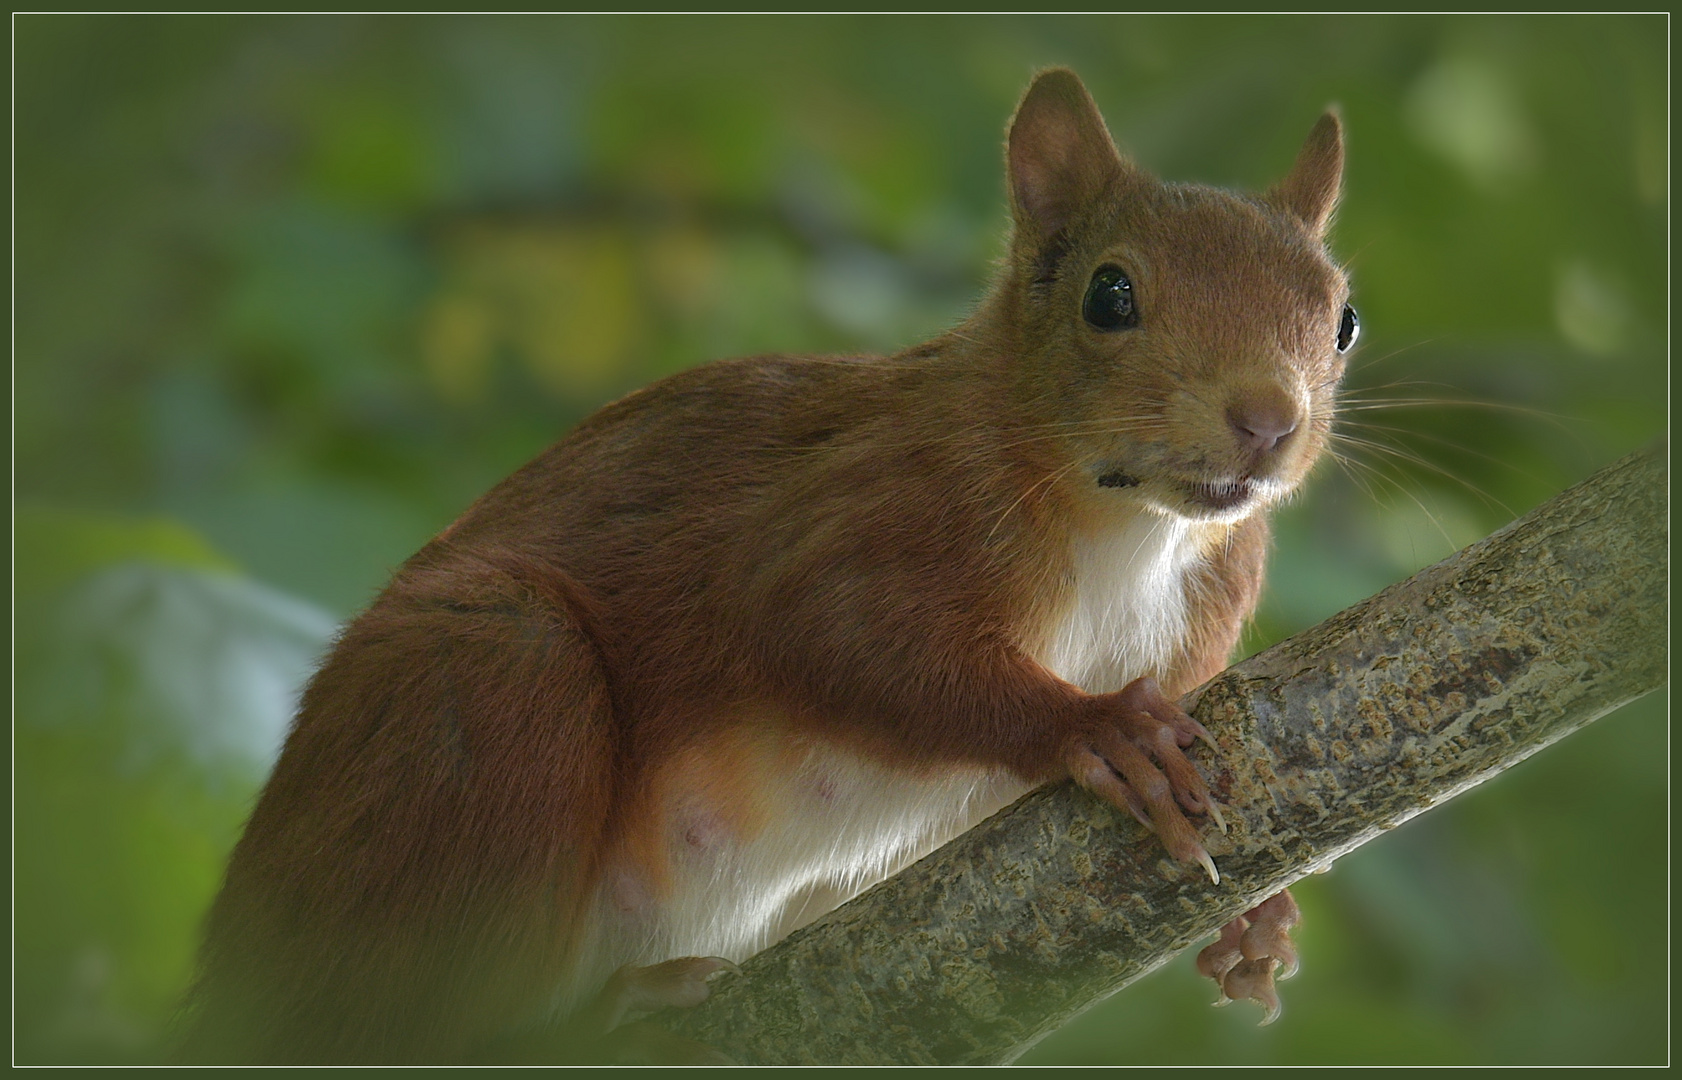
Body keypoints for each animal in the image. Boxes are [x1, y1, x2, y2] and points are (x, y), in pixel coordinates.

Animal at [180, 69, 1352, 1063]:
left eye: (1342, 319)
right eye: (1109, 297)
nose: (1267, 422)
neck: (1129, 528)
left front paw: (1252, 925)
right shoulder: (857, 514)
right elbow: (832, 634)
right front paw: (1092, 728)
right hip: (483, 684)